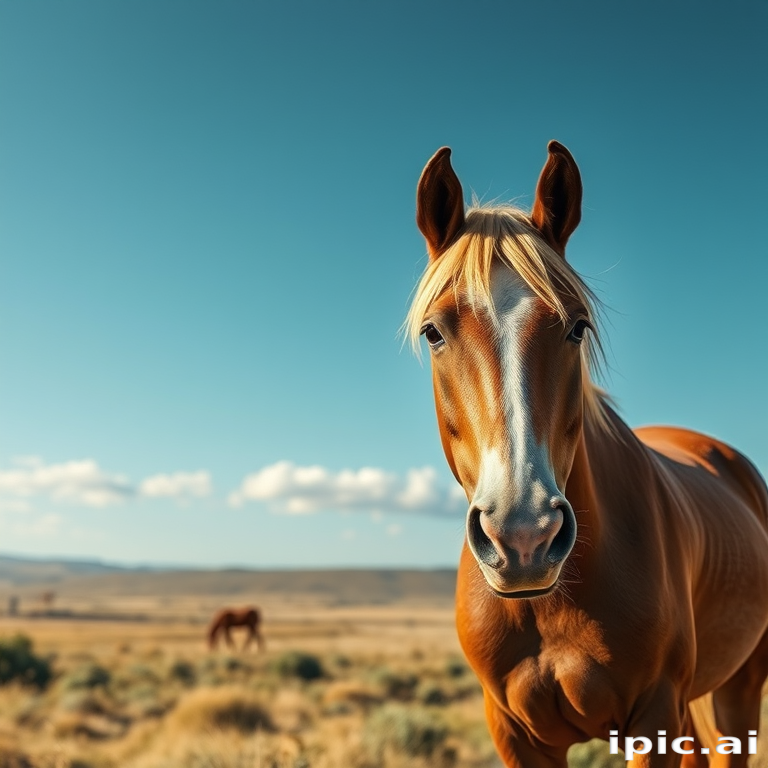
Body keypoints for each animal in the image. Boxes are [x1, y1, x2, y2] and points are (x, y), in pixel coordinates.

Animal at [406, 141, 768, 767]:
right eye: (433, 332)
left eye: (577, 326)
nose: (523, 537)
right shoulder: (515, 733)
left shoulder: (654, 717)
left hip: (739, 686)